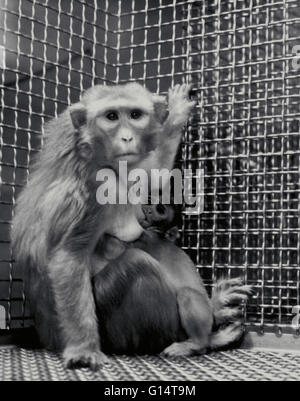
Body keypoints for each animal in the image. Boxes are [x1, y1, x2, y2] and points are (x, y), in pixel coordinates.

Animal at [11, 83, 195, 370]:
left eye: (135, 115)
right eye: (111, 117)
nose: (127, 138)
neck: (85, 149)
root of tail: (47, 338)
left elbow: (149, 175)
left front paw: (175, 115)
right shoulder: (95, 189)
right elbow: (69, 258)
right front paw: (84, 349)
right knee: (137, 264)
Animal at [93, 205, 251, 354]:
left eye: (160, 209)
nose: (148, 210)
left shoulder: (144, 237)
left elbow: (114, 245)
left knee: (186, 294)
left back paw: (198, 343)